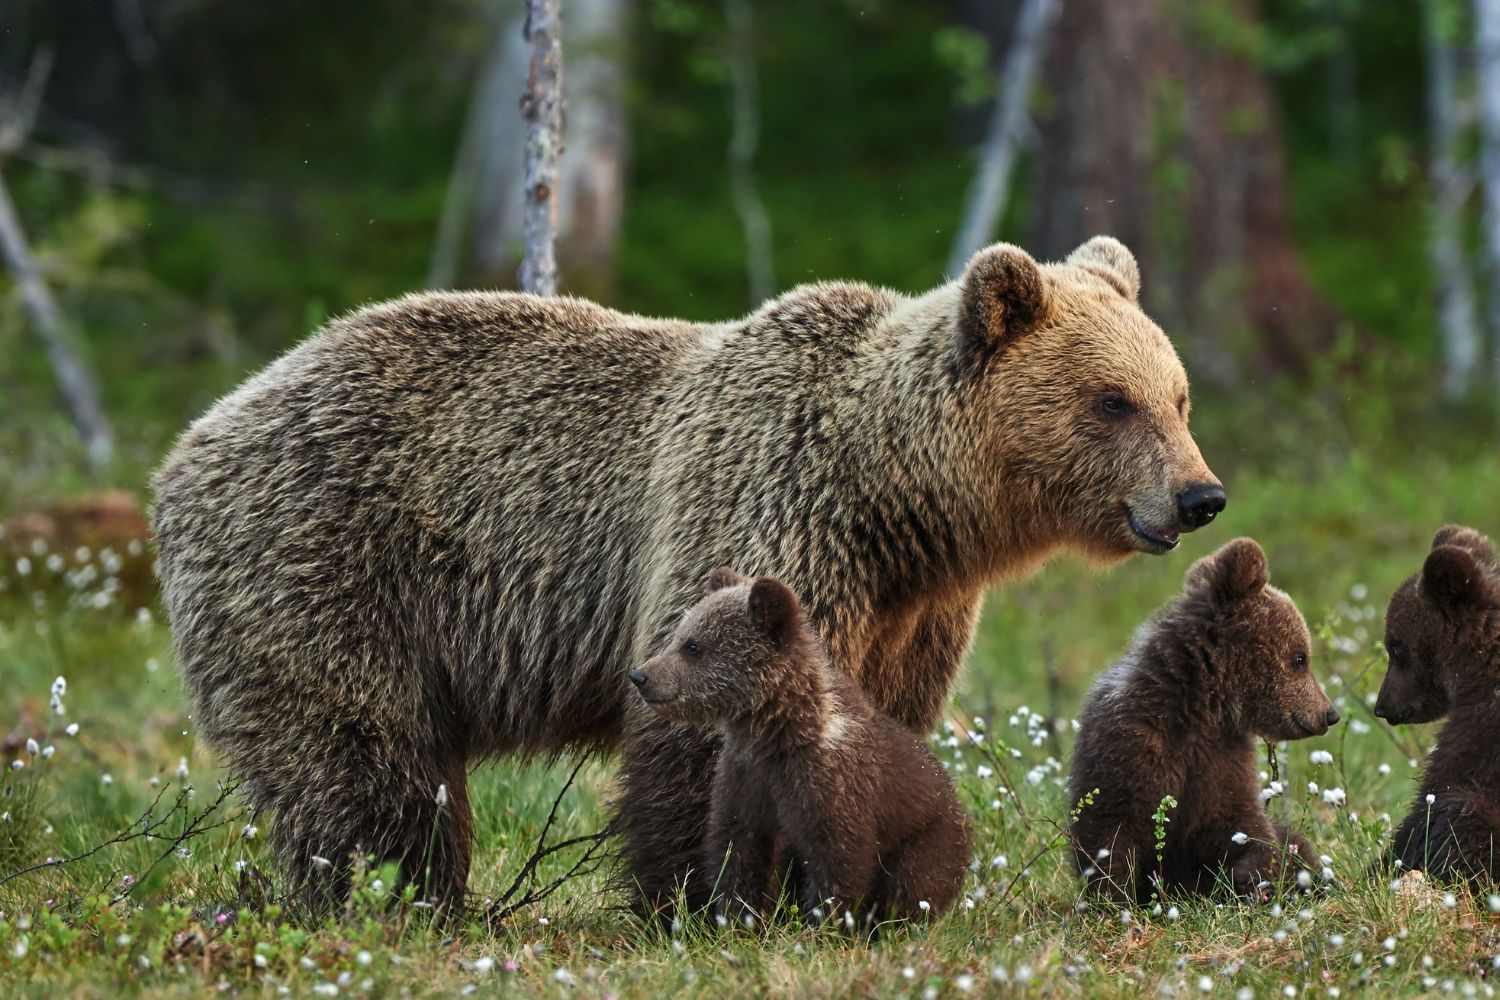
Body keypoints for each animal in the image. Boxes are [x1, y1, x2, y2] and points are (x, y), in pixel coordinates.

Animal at [629, 567, 971, 926]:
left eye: (693, 647)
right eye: (680, 635)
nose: (640, 675)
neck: (777, 730)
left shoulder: (831, 783)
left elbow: (838, 860)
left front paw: (822, 923)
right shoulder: (743, 776)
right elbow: (737, 850)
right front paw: (737, 918)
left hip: (929, 837)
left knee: (912, 884)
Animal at [1068, 538, 1337, 904]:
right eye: (1300, 658)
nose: (1330, 713)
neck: (1201, 708)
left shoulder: (1222, 761)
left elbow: (1243, 828)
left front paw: (1255, 876)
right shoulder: (1131, 747)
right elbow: (1108, 832)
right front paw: (1113, 899)